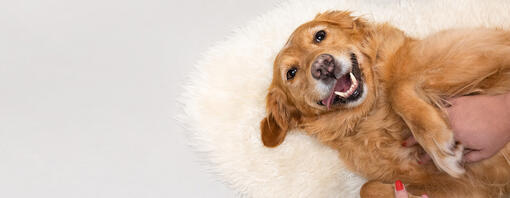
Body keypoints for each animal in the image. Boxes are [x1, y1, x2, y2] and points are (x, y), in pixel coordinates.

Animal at [260, 10, 510, 196]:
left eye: (320, 36)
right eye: (291, 73)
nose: (323, 65)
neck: (373, 112)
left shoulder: (481, 49)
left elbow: (398, 86)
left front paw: (437, 143)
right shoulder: (467, 186)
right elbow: (367, 188)